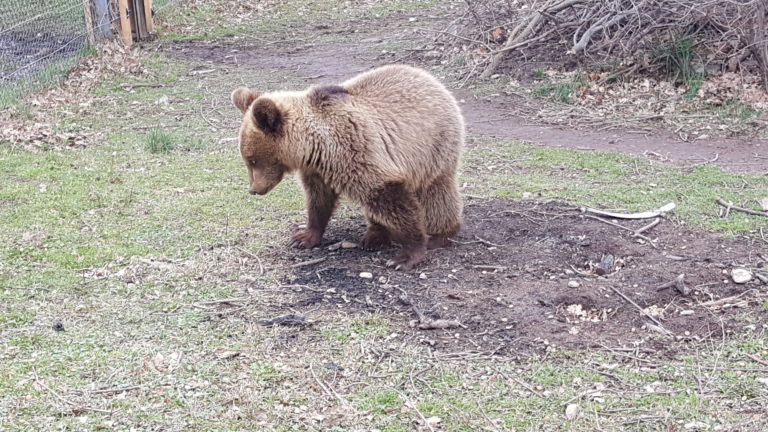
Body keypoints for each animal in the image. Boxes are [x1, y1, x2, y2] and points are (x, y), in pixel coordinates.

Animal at [231, 63, 464, 270]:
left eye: (252, 160)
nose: (254, 189)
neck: (315, 146)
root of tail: (431, 79)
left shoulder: (358, 154)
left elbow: (391, 199)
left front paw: (407, 255)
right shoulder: (317, 171)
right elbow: (319, 201)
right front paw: (304, 237)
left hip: (432, 149)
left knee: (435, 193)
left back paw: (440, 234)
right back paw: (375, 236)